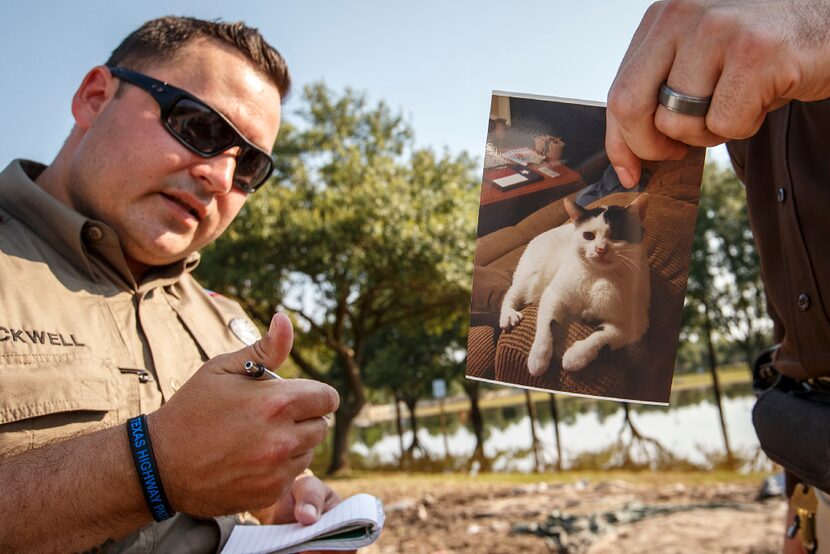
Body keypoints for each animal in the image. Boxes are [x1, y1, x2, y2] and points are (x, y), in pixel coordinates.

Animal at [498, 195, 652, 376]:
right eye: (588, 236)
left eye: (617, 234)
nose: (600, 249)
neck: (599, 275)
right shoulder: (554, 294)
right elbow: (546, 328)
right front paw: (538, 358)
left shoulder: (636, 323)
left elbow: (602, 335)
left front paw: (576, 357)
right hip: (530, 277)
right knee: (511, 293)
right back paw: (508, 314)